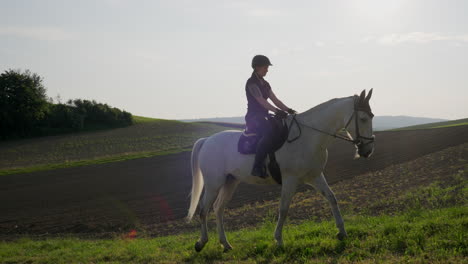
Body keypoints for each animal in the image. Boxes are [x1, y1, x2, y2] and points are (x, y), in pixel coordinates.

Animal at [186, 89, 372, 252]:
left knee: (218, 209)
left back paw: (225, 244)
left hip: (230, 182)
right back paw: (201, 243)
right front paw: (279, 240)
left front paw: (342, 232)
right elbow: (283, 208)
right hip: (213, 184)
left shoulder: (315, 176)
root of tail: (206, 140)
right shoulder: (290, 179)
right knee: (203, 210)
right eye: (363, 119)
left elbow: (332, 198)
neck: (309, 137)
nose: (367, 150)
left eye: (371, 117)